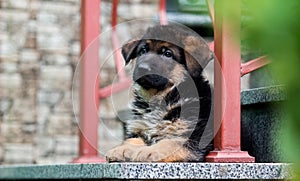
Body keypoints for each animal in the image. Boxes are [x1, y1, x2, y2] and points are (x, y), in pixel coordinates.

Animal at [105, 24, 213, 162]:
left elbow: (169, 142)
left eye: (167, 54)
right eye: (143, 51)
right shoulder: (139, 129)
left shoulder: (191, 136)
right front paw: (121, 149)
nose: (143, 68)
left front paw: (149, 151)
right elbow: (132, 139)